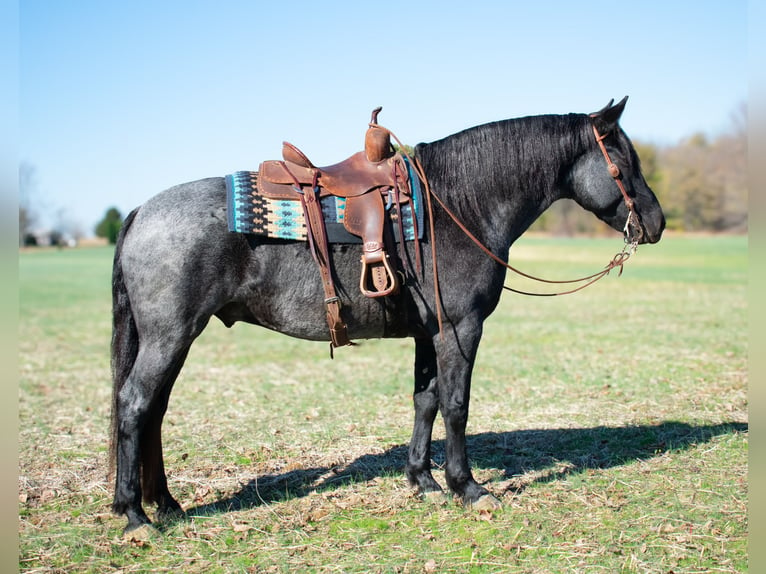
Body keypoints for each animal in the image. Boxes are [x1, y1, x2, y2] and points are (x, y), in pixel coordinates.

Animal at [108, 97, 664, 536]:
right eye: (622, 158)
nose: (656, 222)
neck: (456, 204)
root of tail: (140, 212)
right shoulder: (460, 329)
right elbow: (456, 404)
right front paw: (467, 487)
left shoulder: (429, 332)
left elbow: (426, 400)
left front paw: (422, 479)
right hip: (170, 336)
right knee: (135, 405)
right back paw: (136, 515)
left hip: (173, 339)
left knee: (153, 409)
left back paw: (165, 504)